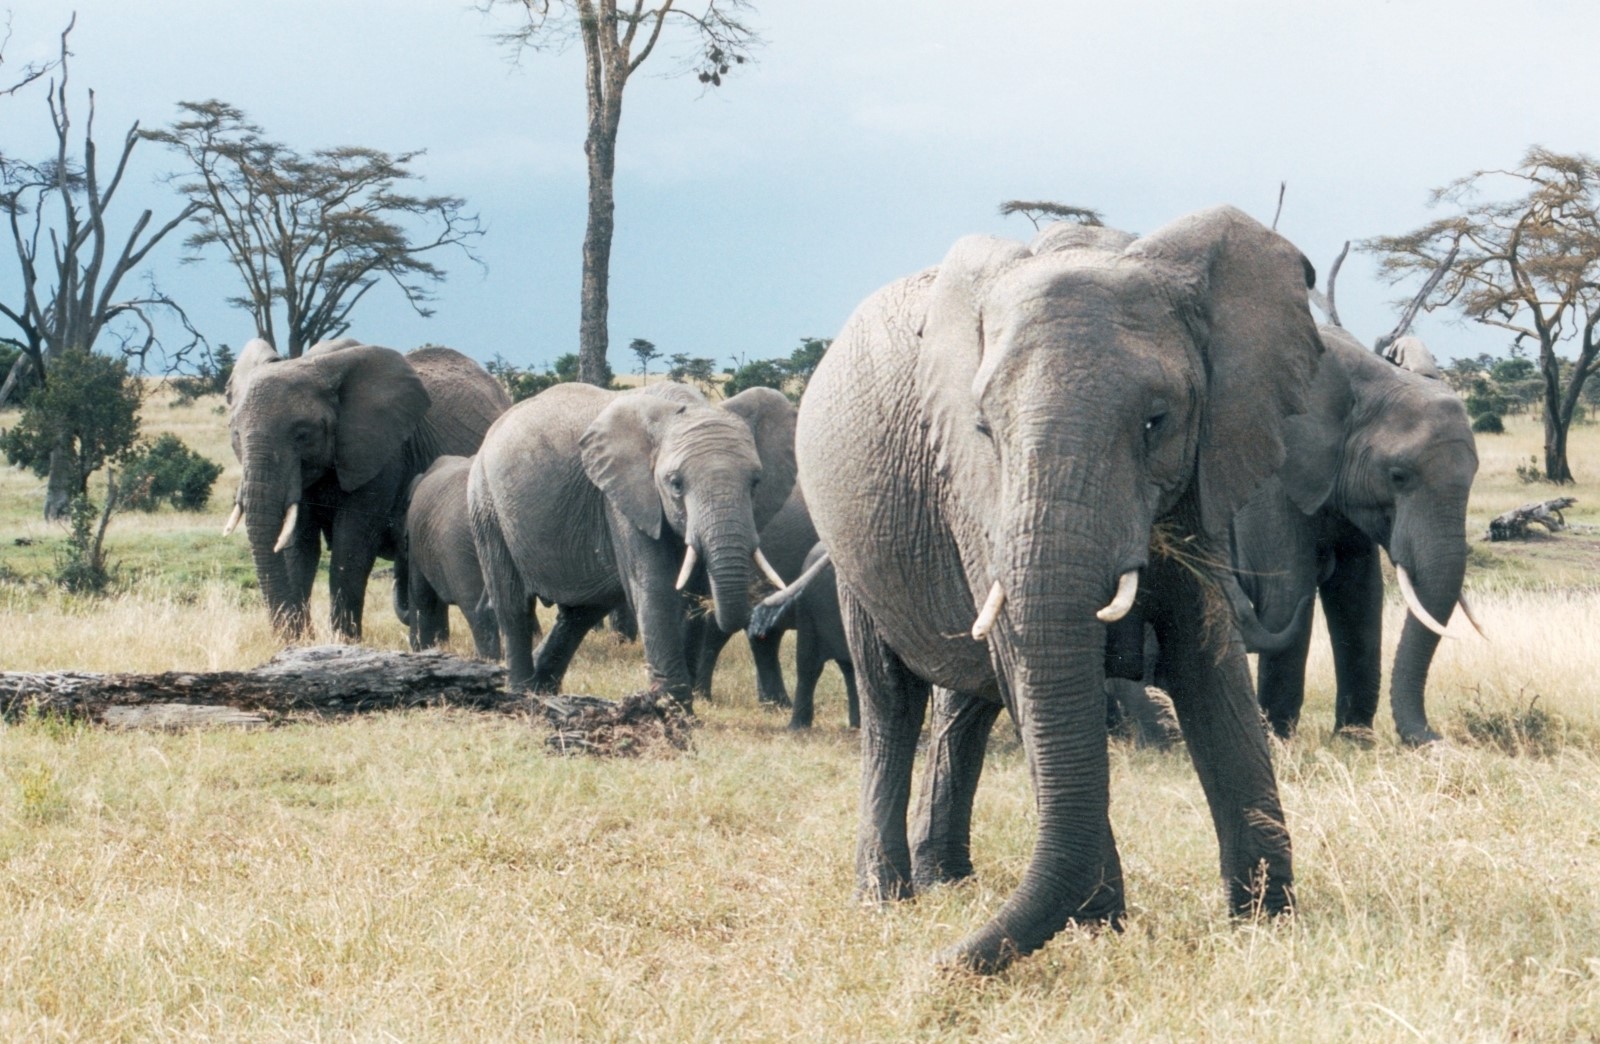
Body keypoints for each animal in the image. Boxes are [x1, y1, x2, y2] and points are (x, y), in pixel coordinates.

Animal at [470, 379, 800, 704]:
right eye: (676, 484)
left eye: (755, 482)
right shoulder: (623, 497)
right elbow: (656, 588)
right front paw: (671, 707)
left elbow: (693, 593)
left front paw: (681, 702)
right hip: (486, 506)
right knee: (513, 606)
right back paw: (520, 693)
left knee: (580, 613)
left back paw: (542, 689)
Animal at [800, 204, 1324, 973]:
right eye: (985, 428)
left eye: (1156, 421)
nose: (933, 969)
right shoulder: (975, 490)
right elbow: (1029, 666)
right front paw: (1101, 929)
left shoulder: (1202, 471)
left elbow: (1209, 662)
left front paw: (1266, 922)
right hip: (851, 548)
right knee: (891, 699)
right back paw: (887, 898)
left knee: (966, 701)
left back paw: (947, 882)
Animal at [1228, 323, 1478, 742]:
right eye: (1398, 476)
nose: (1438, 738)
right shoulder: (1265, 481)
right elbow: (1287, 593)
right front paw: (1279, 741)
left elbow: (1359, 595)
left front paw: (1353, 740)